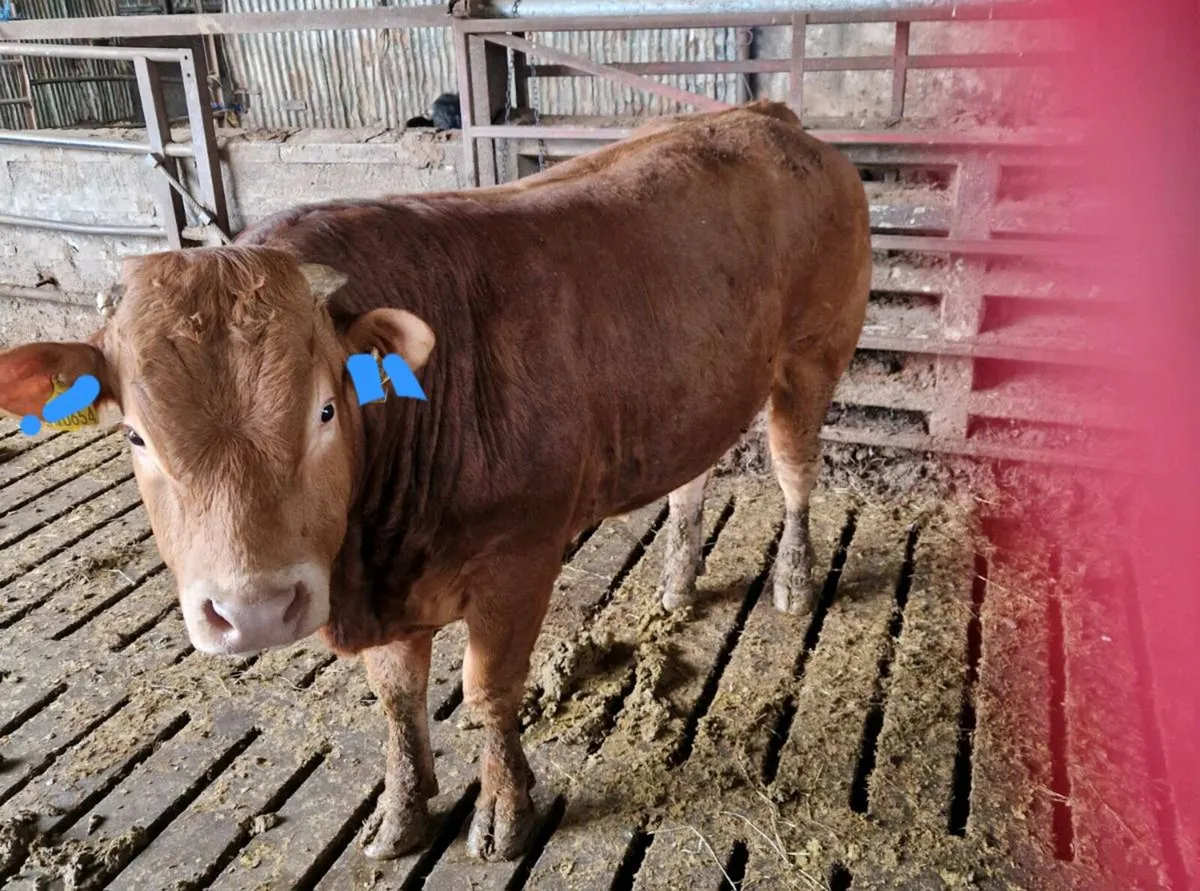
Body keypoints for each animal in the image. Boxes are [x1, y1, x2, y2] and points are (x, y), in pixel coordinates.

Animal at [0, 100, 869, 862]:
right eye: (136, 434)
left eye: (324, 409)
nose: (252, 611)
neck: (375, 551)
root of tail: (766, 116)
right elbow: (396, 700)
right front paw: (401, 813)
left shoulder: (519, 560)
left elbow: (489, 691)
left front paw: (504, 811)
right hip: (701, 388)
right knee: (693, 474)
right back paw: (678, 580)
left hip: (814, 353)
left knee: (795, 467)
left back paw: (794, 579)